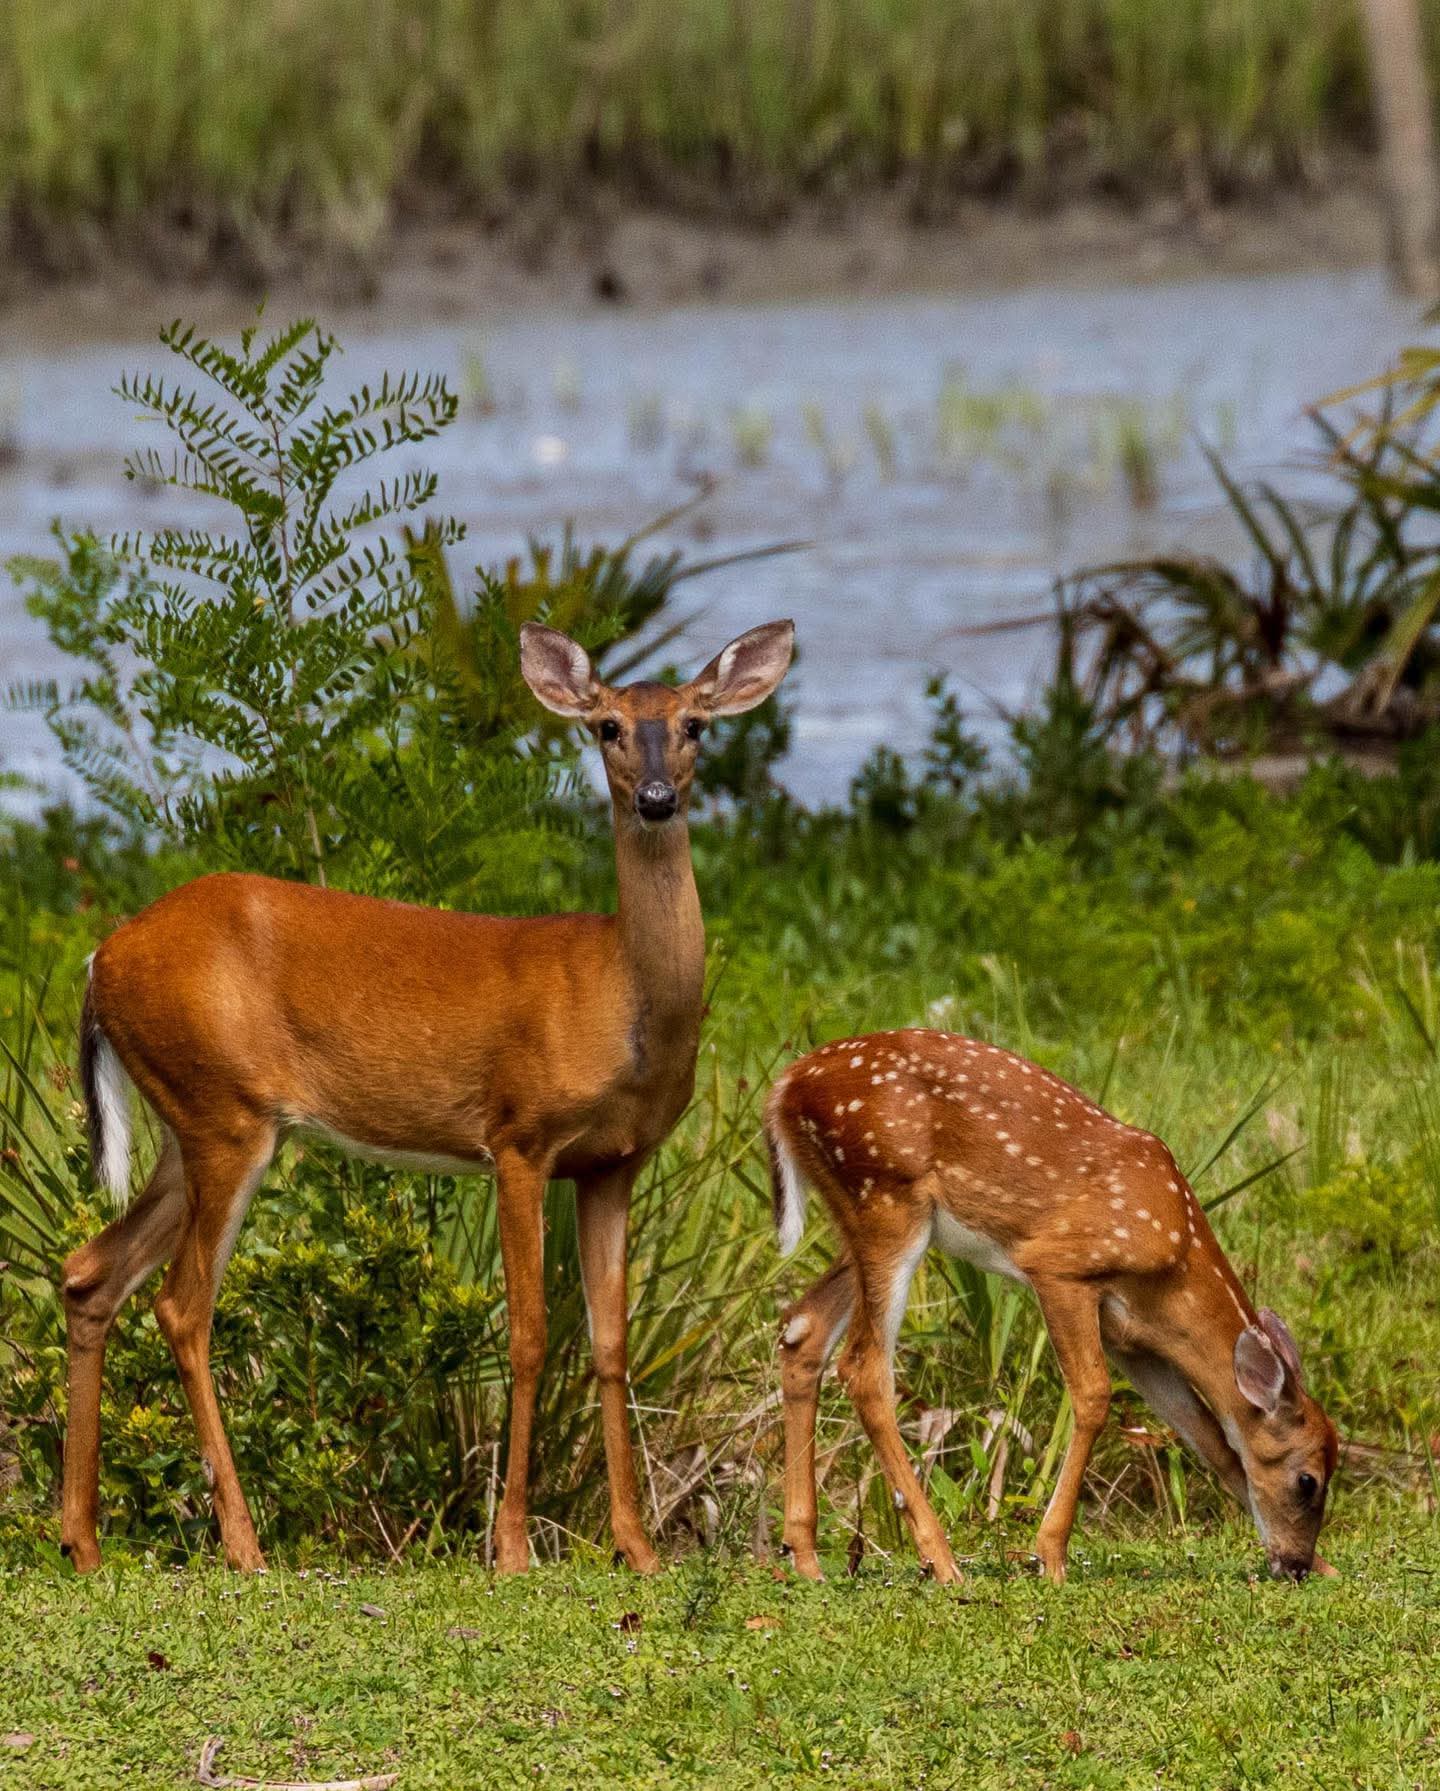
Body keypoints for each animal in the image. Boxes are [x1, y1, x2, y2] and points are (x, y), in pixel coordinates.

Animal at [59, 617, 794, 1576]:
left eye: (695, 723)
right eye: (607, 727)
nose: (658, 798)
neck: (619, 992)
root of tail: (99, 962)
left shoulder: (613, 1163)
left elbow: (609, 1343)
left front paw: (637, 1548)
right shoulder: (518, 1135)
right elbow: (528, 1336)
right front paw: (512, 1546)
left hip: (198, 1121)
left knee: (90, 1271)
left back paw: (82, 1539)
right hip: (223, 1113)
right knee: (182, 1305)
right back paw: (244, 1546)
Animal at [765, 1028, 1340, 1586]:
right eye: (1307, 1480)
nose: (1296, 1565)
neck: (1173, 1255)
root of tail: (785, 1085)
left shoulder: (1134, 1338)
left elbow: (1208, 1436)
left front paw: (1326, 1564)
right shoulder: (1062, 1268)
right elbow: (1093, 1396)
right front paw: (1050, 1555)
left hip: (860, 1221)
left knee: (803, 1328)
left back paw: (806, 1558)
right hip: (886, 1199)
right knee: (864, 1366)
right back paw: (941, 1561)